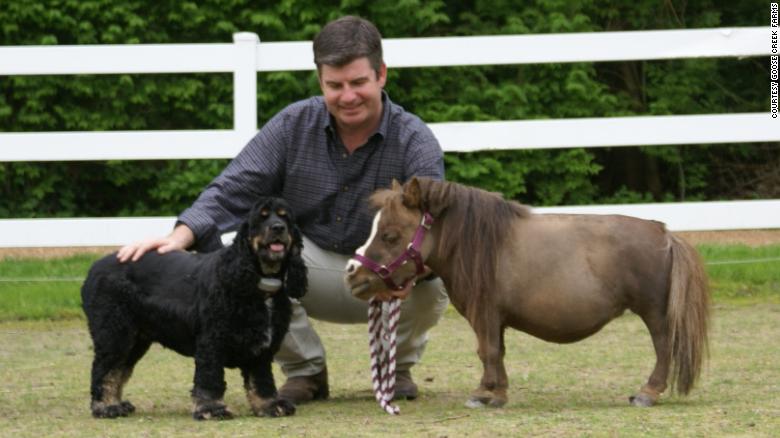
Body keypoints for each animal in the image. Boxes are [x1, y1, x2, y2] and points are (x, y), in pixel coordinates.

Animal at [80, 198, 306, 420]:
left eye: (286, 218)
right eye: (262, 217)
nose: (278, 228)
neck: (256, 283)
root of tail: (94, 268)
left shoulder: (262, 349)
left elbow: (262, 379)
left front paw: (270, 405)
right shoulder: (211, 340)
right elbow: (210, 377)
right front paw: (211, 408)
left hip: (136, 338)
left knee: (119, 369)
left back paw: (117, 404)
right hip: (114, 330)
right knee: (105, 368)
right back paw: (106, 407)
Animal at [344, 177, 708, 408]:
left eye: (390, 235)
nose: (352, 273)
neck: (479, 244)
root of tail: (663, 233)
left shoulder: (485, 314)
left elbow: (487, 351)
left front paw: (484, 394)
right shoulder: (495, 318)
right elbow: (497, 352)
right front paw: (497, 392)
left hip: (655, 313)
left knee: (664, 348)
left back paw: (648, 392)